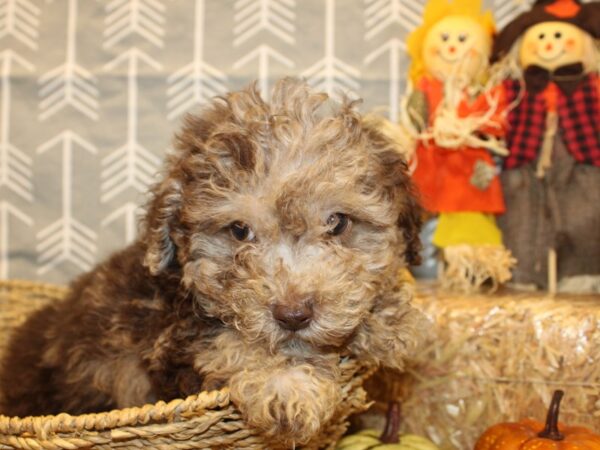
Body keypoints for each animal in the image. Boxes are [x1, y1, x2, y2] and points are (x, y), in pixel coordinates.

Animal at [1, 78, 422, 446]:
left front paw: (391, 321)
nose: (293, 315)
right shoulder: (171, 347)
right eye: (238, 230)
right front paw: (288, 385)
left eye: (338, 222)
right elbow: (226, 342)